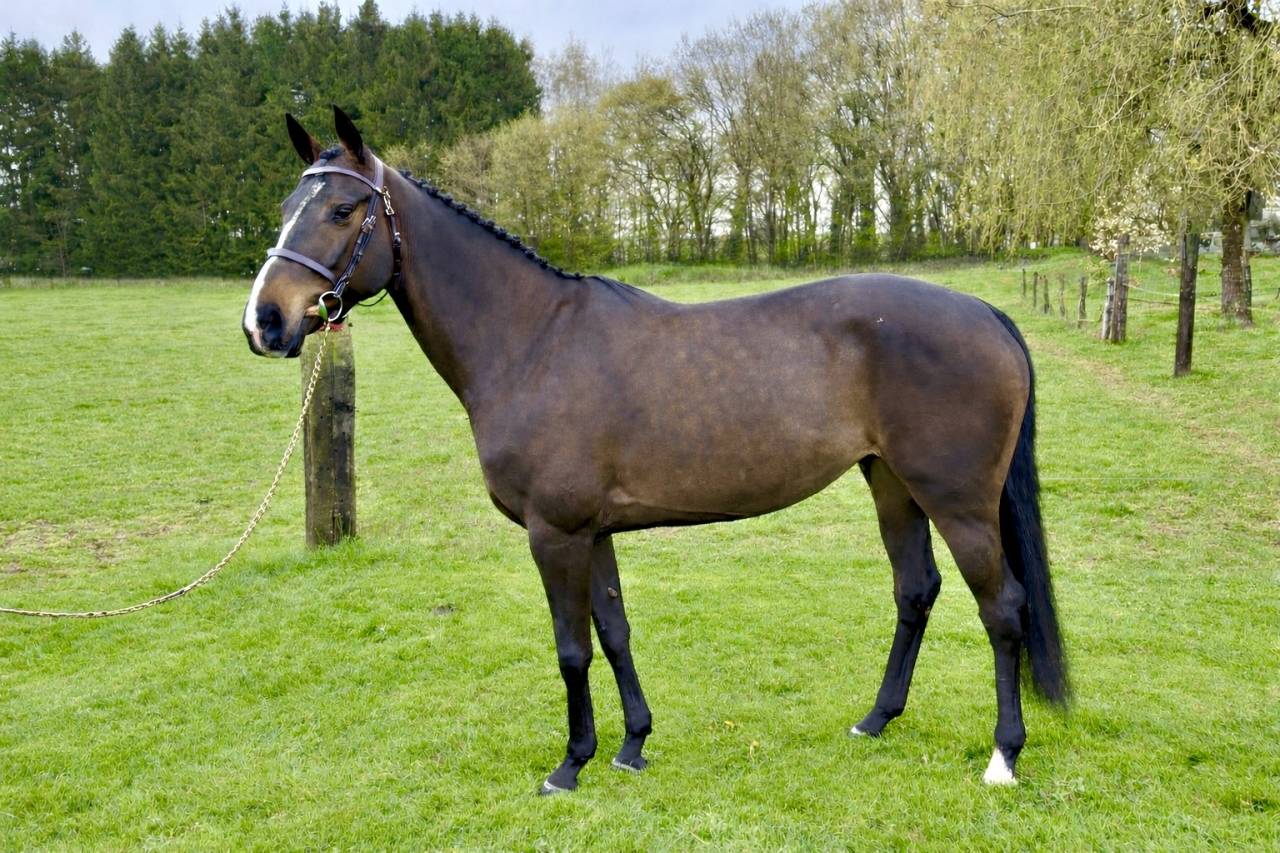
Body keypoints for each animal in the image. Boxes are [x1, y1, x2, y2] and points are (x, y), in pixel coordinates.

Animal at [244, 107, 1068, 793]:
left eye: (343, 209)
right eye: (286, 210)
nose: (265, 321)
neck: (532, 341)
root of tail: (985, 313)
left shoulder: (555, 533)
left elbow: (571, 648)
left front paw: (570, 764)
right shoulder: (593, 530)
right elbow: (613, 632)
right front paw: (632, 744)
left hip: (958, 502)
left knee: (1002, 607)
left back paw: (1003, 756)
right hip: (891, 482)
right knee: (915, 590)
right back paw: (875, 719)